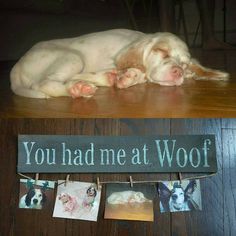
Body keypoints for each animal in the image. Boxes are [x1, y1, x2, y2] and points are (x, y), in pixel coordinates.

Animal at [10, 28, 229, 98]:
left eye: (184, 64)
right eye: (162, 51)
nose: (178, 72)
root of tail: (16, 67)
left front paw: (128, 77)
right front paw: (131, 75)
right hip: (73, 57)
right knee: (43, 84)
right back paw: (79, 88)